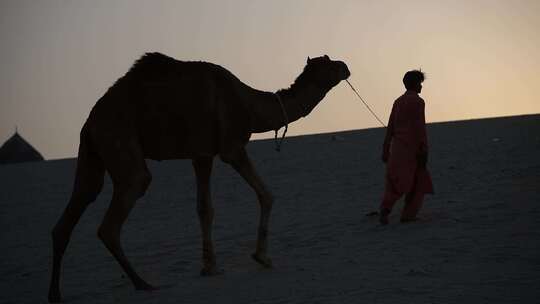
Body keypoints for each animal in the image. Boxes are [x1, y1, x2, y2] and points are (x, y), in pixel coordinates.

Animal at [48, 52, 348, 302]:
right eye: (328, 62)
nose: (346, 66)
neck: (250, 105)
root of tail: (90, 121)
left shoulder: (201, 154)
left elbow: (205, 208)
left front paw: (210, 267)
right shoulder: (231, 147)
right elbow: (267, 195)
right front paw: (261, 257)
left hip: (92, 152)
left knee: (78, 203)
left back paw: (55, 294)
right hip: (119, 137)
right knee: (120, 206)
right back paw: (143, 283)